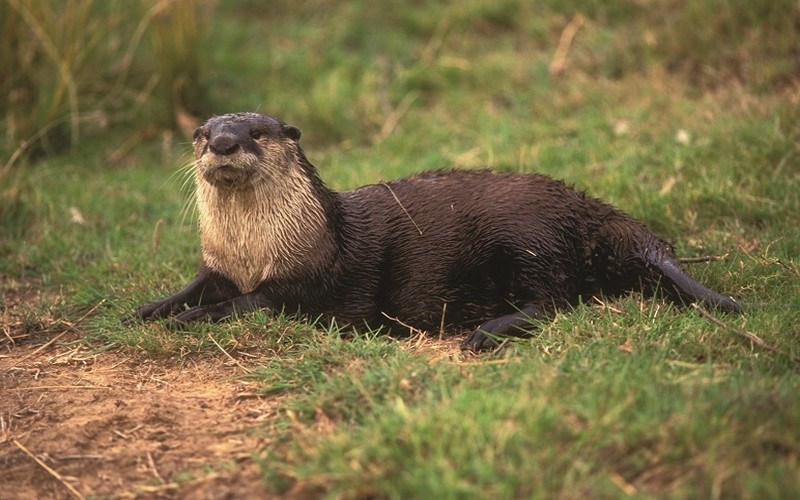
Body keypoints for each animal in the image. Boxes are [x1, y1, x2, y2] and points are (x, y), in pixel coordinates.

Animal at [131, 111, 736, 350]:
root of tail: (585, 208)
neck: (255, 252)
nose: (223, 142)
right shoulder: (218, 264)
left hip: (528, 237)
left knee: (556, 301)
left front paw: (190, 318)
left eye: (257, 132)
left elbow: (245, 304)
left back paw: (485, 333)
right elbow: (198, 285)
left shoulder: (305, 280)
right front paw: (150, 308)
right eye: (200, 132)